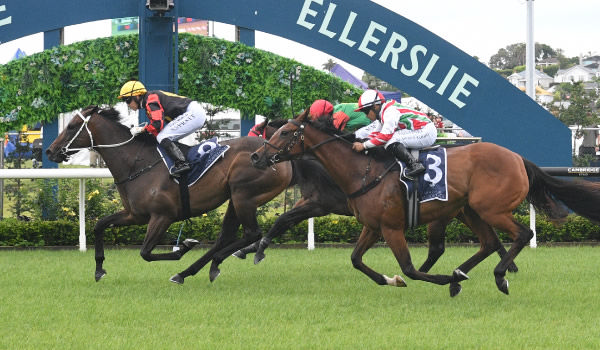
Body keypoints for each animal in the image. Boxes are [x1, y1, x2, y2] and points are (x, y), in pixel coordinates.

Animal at [45, 106, 292, 284]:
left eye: (72, 126)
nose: (50, 150)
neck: (137, 163)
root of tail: (276, 155)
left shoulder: (163, 216)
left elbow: (146, 252)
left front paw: (184, 246)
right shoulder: (135, 215)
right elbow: (99, 225)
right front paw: (99, 269)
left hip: (244, 196)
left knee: (252, 233)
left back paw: (207, 264)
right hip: (235, 198)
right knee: (227, 236)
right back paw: (192, 271)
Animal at [251, 109, 600, 296]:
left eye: (285, 132)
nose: (256, 157)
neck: (363, 171)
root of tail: (518, 158)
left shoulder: (391, 227)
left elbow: (409, 267)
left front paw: (434, 279)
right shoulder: (373, 226)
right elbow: (356, 260)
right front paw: (391, 279)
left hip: (490, 208)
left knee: (521, 235)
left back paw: (498, 276)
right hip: (469, 210)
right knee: (489, 242)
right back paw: (464, 274)